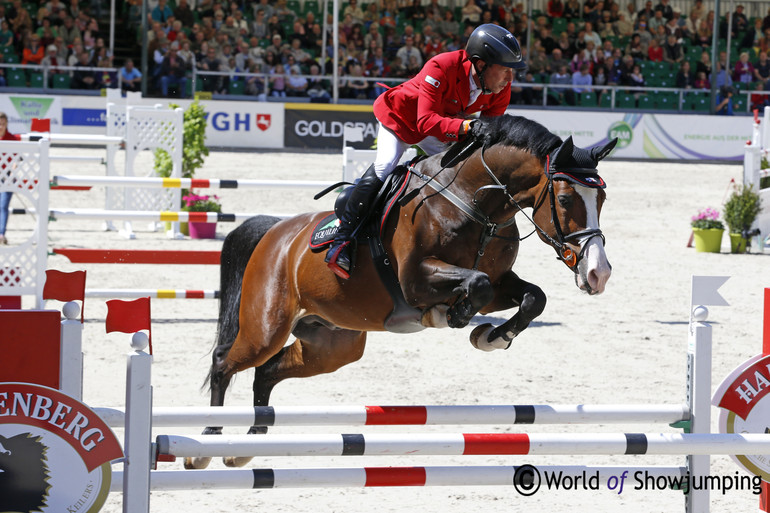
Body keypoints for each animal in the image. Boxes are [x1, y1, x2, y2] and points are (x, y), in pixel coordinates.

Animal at [183, 115, 616, 468]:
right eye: (565, 199)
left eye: (603, 198)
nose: (598, 273)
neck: (475, 203)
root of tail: (274, 231)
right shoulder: (415, 281)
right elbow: (474, 285)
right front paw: (454, 315)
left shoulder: (499, 282)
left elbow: (530, 297)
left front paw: (491, 336)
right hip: (266, 327)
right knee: (225, 362)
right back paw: (207, 440)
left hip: (332, 344)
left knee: (268, 371)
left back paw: (249, 440)